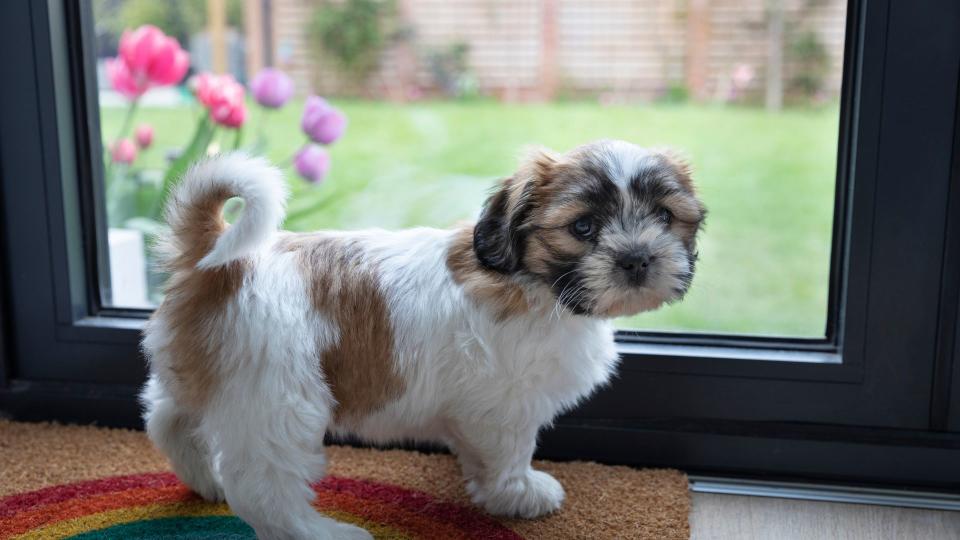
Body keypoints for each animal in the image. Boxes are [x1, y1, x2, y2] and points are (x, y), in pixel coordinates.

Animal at [141, 140, 704, 540]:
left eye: (664, 217)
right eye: (583, 227)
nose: (637, 259)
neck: (532, 283)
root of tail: (217, 260)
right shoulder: (505, 405)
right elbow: (510, 452)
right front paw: (519, 493)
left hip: (210, 375)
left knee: (167, 419)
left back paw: (205, 479)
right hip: (277, 402)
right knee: (264, 488)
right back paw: (321, 532)